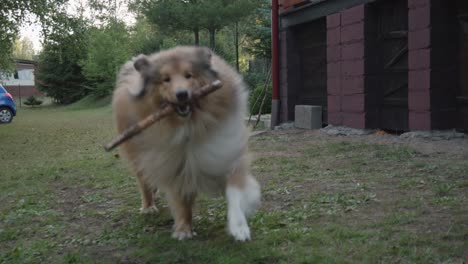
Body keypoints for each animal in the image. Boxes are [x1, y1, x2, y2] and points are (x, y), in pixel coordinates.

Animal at [112, 46, 262, 241]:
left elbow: (235, 190)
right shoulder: (175, 167)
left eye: (188, 75)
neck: (190, 127)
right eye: (166, 79)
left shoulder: (226, 155)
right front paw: (184, 230)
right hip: (139, 158)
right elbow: (181, 201)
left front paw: (239, 227)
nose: (182, 94)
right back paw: (148, 207)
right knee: (144, 183)